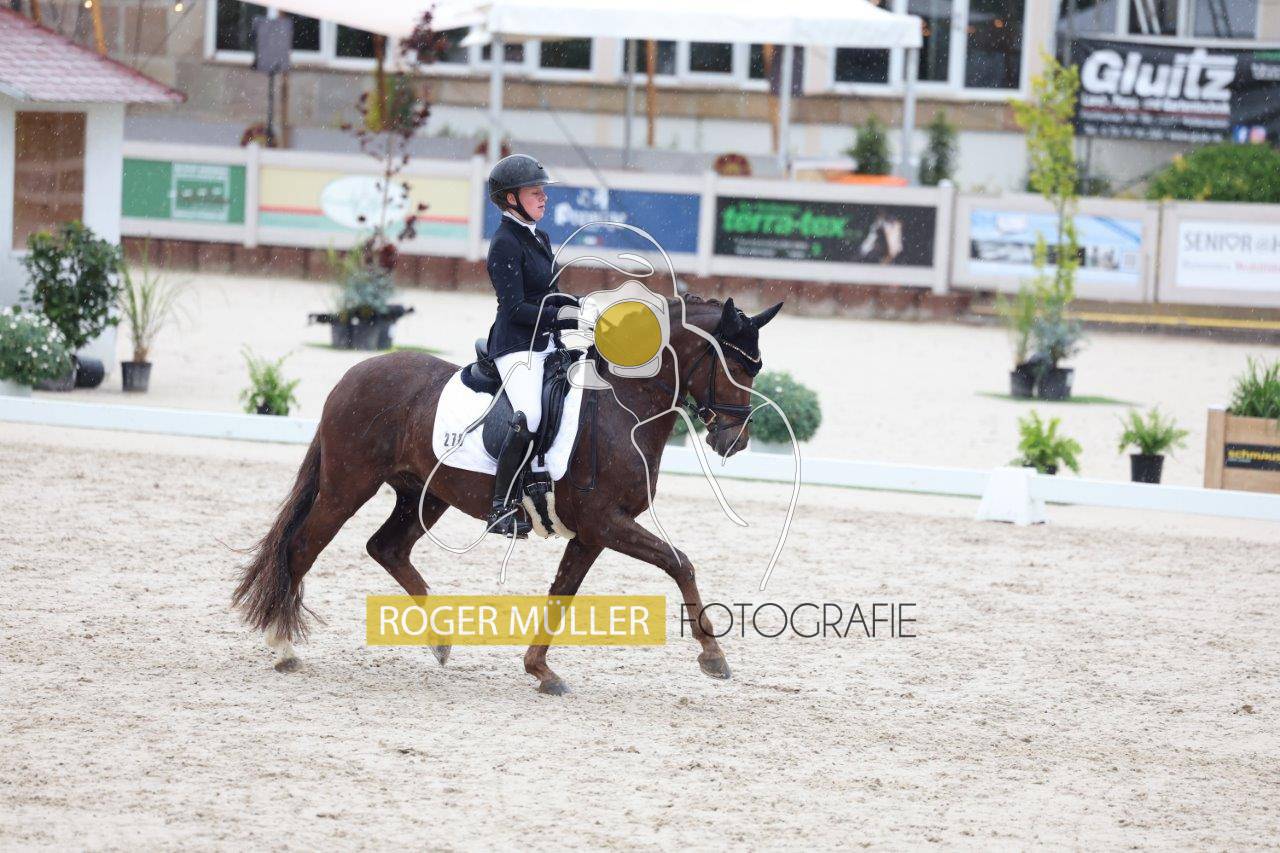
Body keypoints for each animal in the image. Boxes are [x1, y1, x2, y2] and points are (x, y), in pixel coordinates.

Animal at [232, 293, 784, 694]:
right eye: (737, 368)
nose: (734, 441)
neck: (620, 408)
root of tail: (353, 373)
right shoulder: (606, 522)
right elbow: (679, 562)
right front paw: (713, 657)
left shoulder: (592, 532)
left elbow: (563, 592)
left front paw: (540, 670)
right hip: (348, 486)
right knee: (302, 548)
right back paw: (283, 649)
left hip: (423, 494)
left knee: (386, 547)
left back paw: (440, 642)